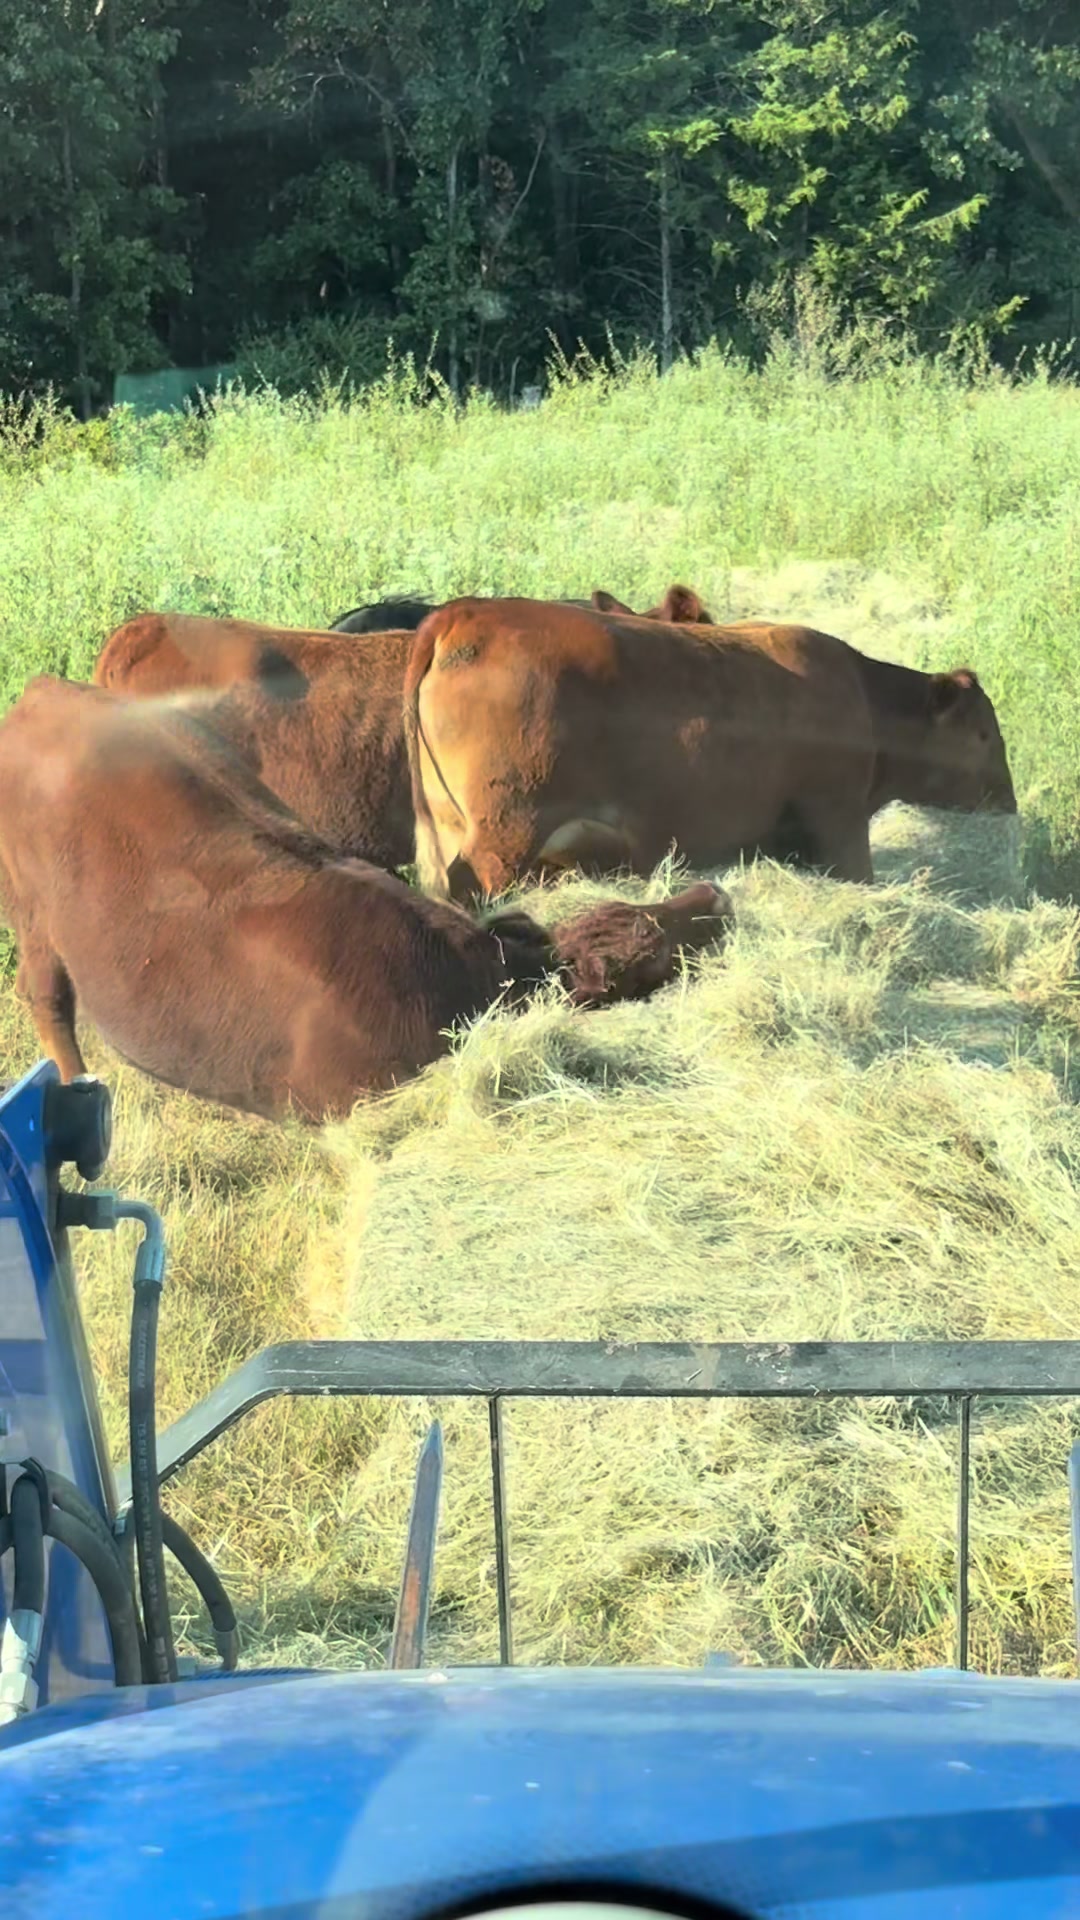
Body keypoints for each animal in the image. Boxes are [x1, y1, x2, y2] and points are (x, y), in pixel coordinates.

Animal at [0, 678, 734, 1123]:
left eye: (634, 914)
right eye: (649, 952)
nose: (717, 894)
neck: (463, 975)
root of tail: (47, 691)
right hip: (32, 910)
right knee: (46, 996)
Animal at [403, 598, 1016, 901]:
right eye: (985, 734)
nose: (1008, 802)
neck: (865, 696)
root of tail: (464, 615)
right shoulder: (838, 821)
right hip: (507, 834)